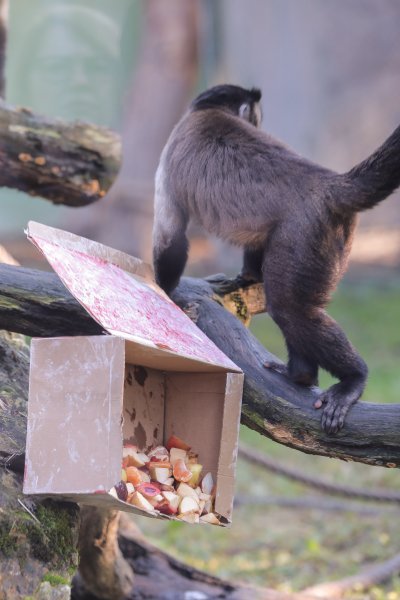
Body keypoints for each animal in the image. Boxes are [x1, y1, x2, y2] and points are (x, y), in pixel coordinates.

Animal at [152, 83, 400, 432]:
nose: (259, 123)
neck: (210, 110)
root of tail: (330, 183)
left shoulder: (171, 151)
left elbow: (170, 235)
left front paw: (165, 291)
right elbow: (257, 238)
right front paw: (246, 277)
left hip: (302, 236)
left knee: (289, 309)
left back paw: (351, 379)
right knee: (295, 306)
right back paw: (301, 375)